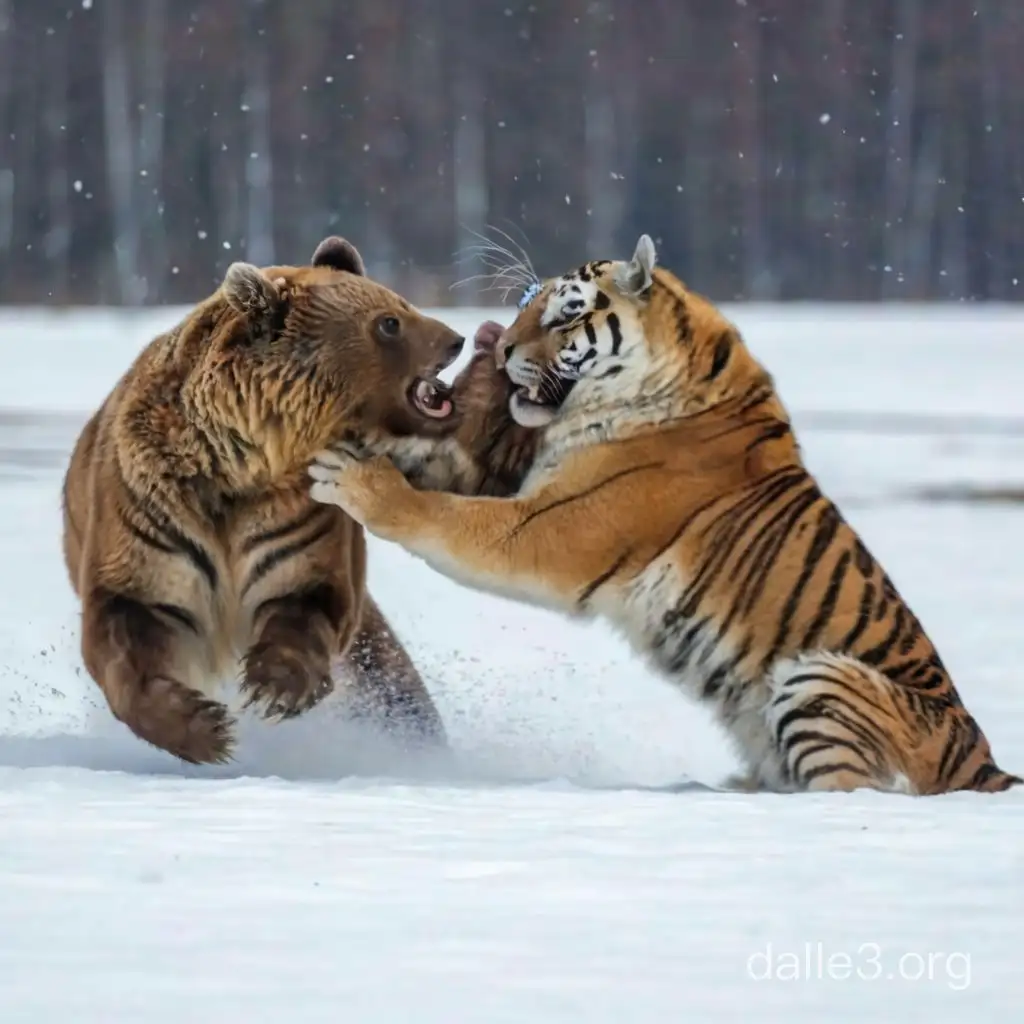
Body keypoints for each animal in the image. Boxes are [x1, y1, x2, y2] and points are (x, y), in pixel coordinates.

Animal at [61, 232, 462, 761]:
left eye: (399, 304)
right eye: (390, 322)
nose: (455, 338)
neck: (242, 463)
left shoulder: (297, 518)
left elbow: (305, 599)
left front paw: (273, 687)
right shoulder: (152, 518)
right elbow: (127, 626)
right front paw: (205, 728)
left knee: (392, 687)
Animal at [307, 234, 1019, 798]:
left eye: (566, 312)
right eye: (526, 303)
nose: (501, 347)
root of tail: (987, 767)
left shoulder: (554, 527)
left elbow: (442, 515)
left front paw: (356, 477)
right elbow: (434, 467)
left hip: (820, 675)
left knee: (859, 790)